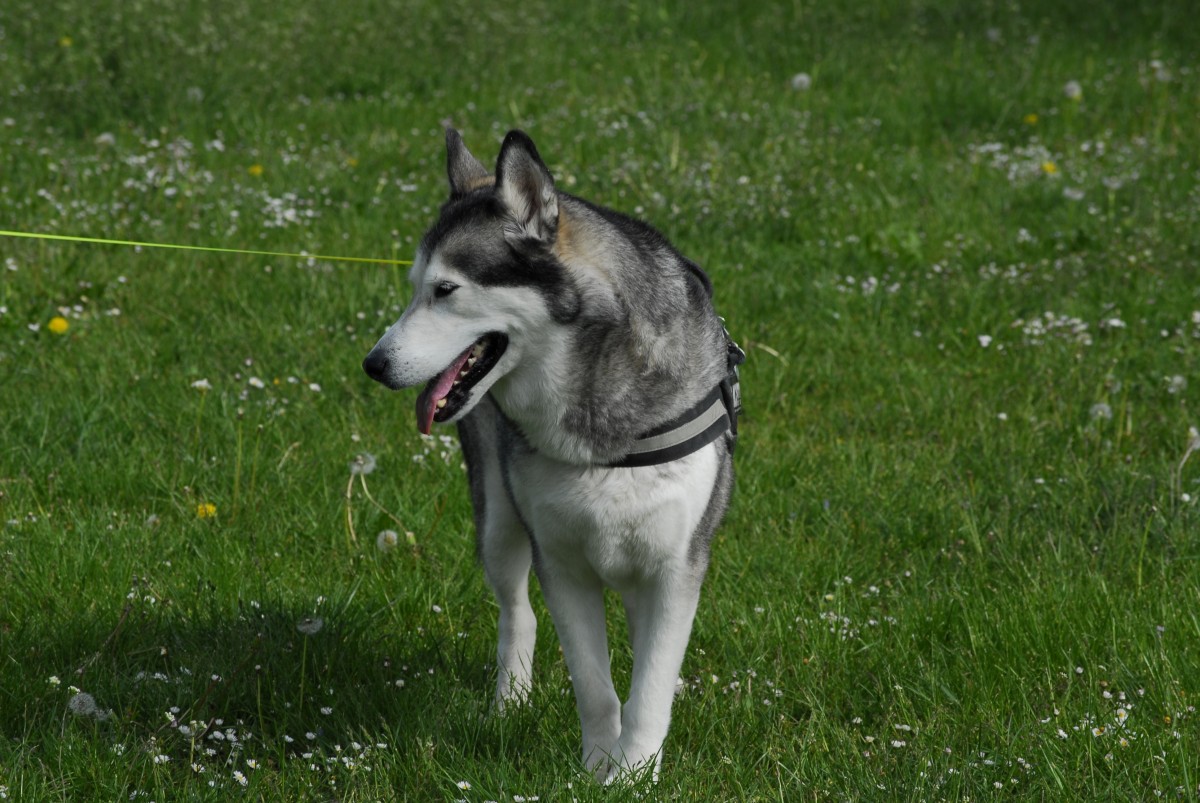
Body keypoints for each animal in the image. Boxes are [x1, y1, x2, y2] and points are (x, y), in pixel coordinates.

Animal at [364, 131, 739, 782]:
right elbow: (595, 686)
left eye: (445, 290)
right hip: (497, 519)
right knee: (518, 610)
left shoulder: (676, 566)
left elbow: (648, 689)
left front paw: (634, 775)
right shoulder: (560, 564)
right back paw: (510, 701)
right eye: (414, 287)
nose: (374, 364)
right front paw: (597, 771)